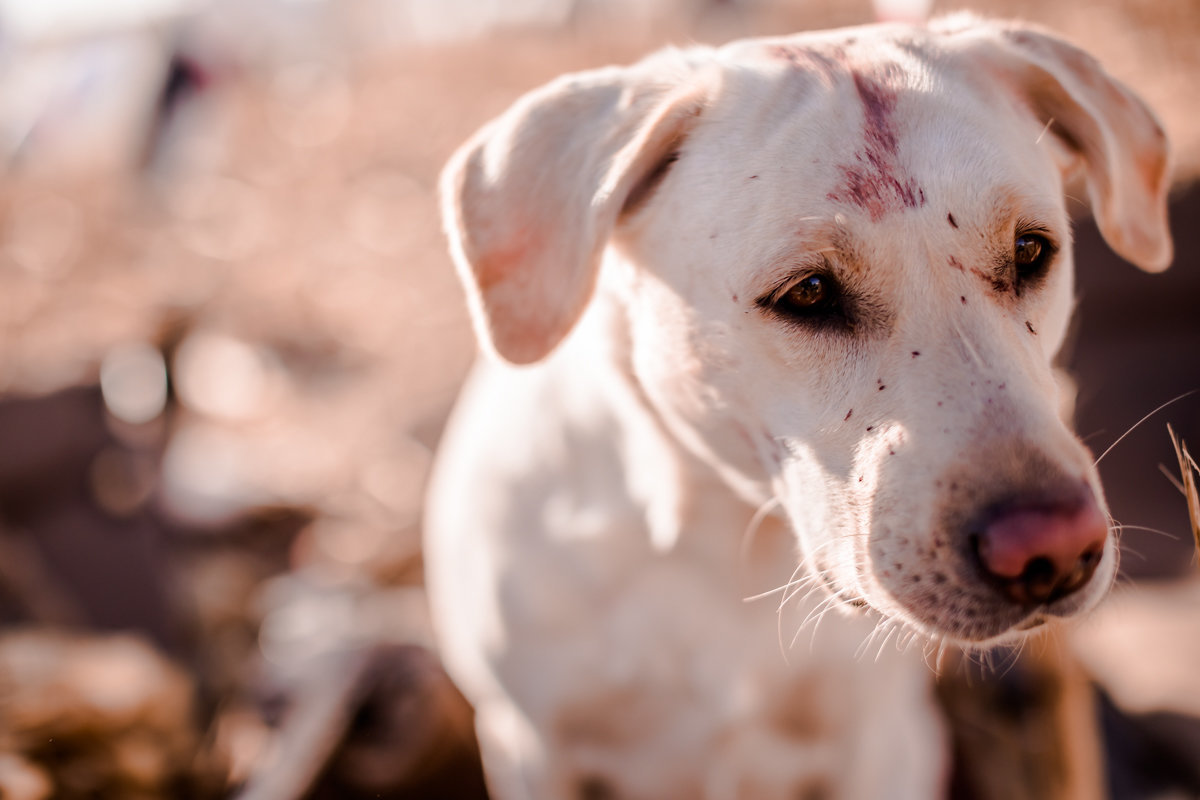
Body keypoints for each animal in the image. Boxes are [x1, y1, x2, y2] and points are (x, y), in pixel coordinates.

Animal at [424, 14, 1171, 800]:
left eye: (1031, 251)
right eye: (808, 293)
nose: (1051, 547)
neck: (721, 540)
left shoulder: (883, 745)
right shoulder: (527, 743)